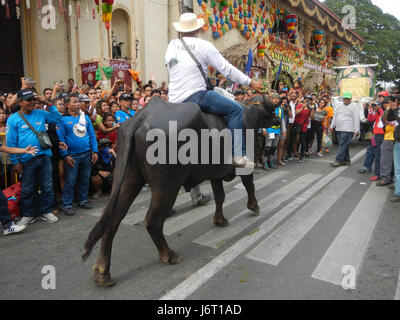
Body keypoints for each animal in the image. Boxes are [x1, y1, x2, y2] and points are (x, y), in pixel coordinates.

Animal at [83, 94, 276, 286]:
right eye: (273, 107)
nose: (277, 120)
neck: (248, 115)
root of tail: (139, 119)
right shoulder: (246, 165)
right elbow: (249, 185)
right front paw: (254, 206)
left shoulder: (215, 173)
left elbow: (220, 196)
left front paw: (220, 220)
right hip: (167, 186)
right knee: (152, 220)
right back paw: (169, 255)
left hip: (128, 179)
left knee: (112, 220)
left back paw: (102, 271)